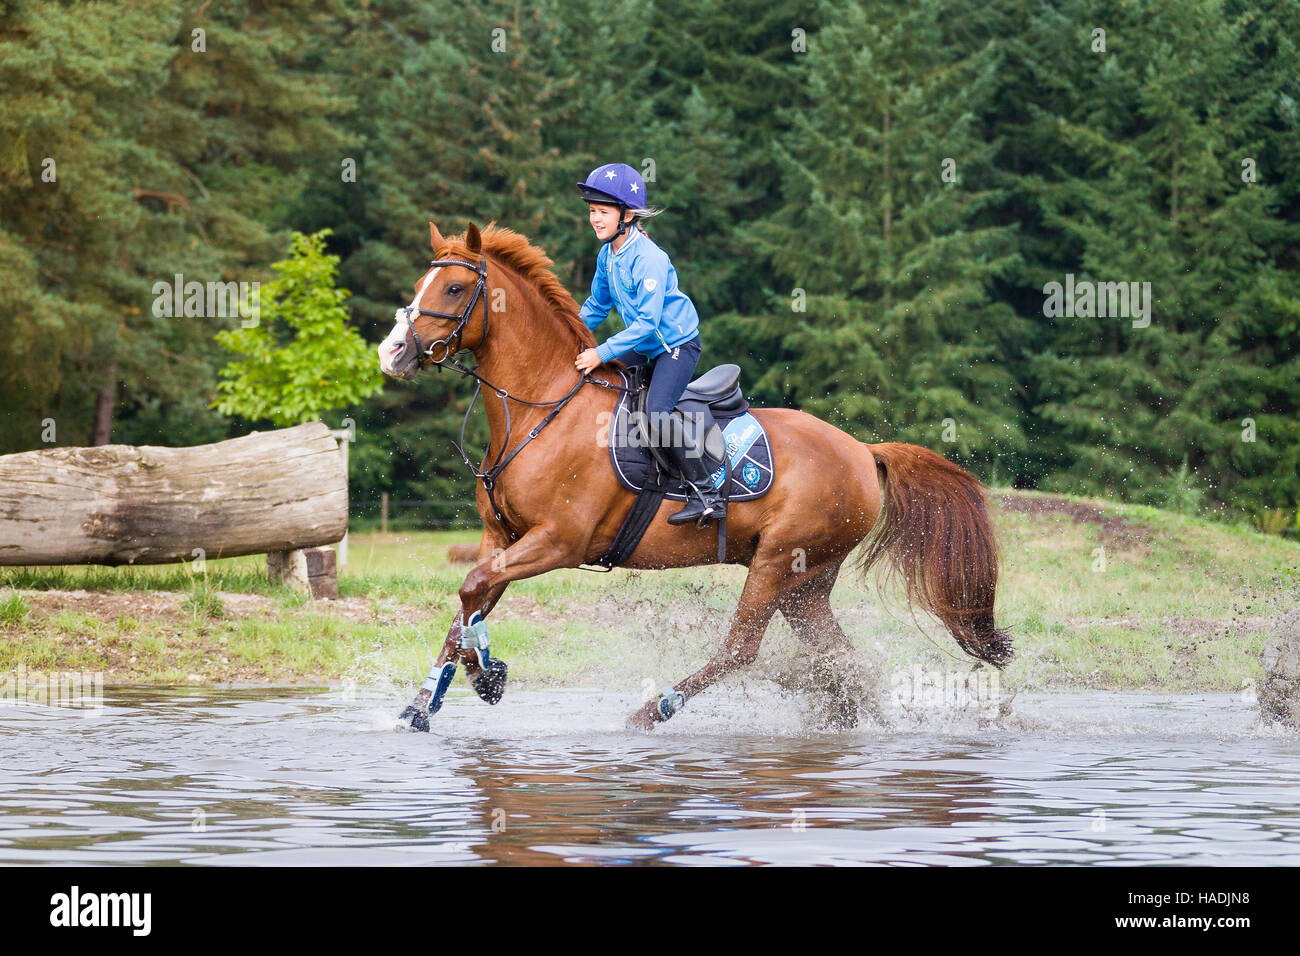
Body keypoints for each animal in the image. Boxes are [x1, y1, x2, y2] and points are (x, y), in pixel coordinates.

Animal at [377, 220, 1011, 731]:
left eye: (454, 288)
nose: (392, 352)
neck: (543, 407)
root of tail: (862, 450)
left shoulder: (556, 541)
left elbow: (471, 591)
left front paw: (487, 676)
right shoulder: (502, 537)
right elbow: (468, 604)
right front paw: (427, 702)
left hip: (777, 561)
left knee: (742, 650)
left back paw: (652, 710)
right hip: (806, 582)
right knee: (839, 660)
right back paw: (854, 722)